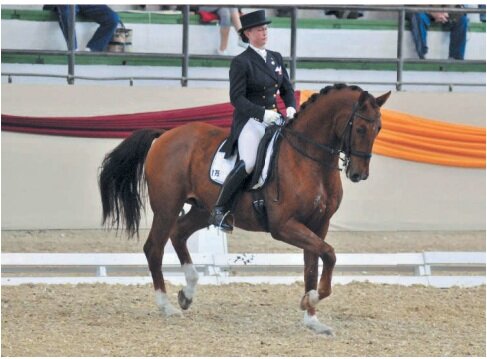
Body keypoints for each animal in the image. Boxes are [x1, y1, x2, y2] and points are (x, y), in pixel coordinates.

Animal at [99, 83, 392, 334]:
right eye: (360, 128)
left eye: (378, 128)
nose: (358, 174)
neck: (310, 160)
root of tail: (166, 135)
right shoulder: (284, 226)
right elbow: (329, 254)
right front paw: (311, 300)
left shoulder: (318, 225)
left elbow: (313, 265)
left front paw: (311, 317)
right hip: (167, 207)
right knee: (154, 248)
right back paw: (167, 306)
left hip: (203, 210)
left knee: (178, 234)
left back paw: (187, 293)